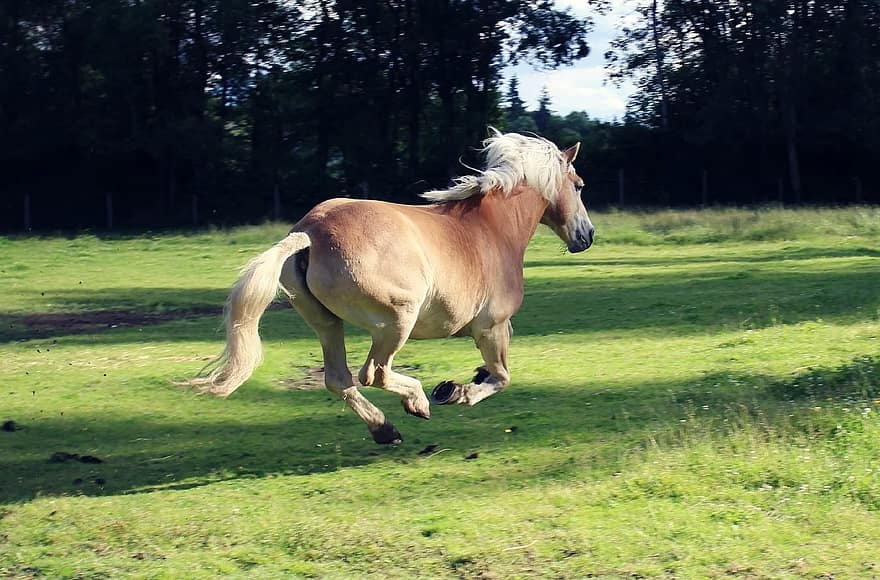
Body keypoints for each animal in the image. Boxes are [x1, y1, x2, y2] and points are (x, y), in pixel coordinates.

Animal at [188, 128, 596, 444]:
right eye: (579, 186)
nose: (587, 235)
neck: (492, 230)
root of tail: (310, 232)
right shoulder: (492, 328)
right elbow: (501, 378)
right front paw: (454, 391)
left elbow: (496, 374)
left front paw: (463, 382)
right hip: (397, 320)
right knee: (374, 373)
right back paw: (418, 402)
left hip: (327, 324)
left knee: (339, 379)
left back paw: (385, 430)